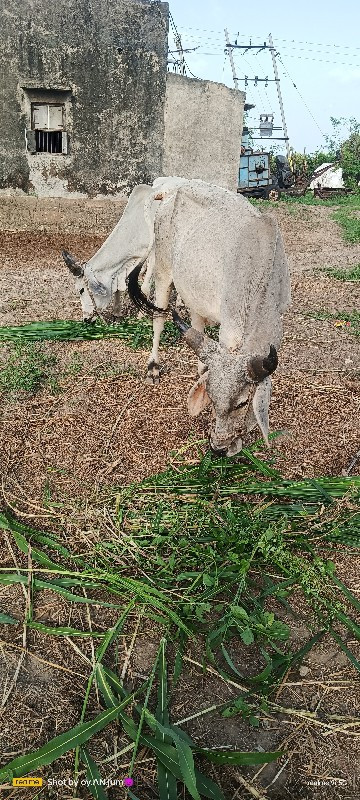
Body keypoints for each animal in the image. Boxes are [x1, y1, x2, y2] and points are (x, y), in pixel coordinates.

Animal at [64, 180, 290, 456]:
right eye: (212, 400)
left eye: (242, 402)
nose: (218, 448)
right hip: (163, 270)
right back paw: (153, 367)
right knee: (159, 318)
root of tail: (168, 193)